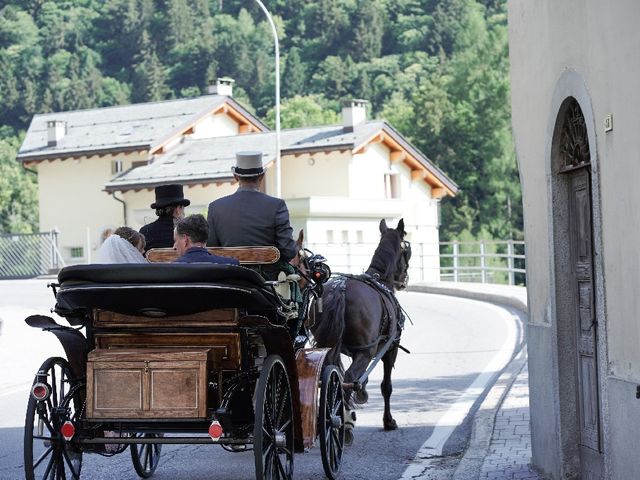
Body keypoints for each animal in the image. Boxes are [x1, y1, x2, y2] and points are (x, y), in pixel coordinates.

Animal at [310, 220, 410, 436]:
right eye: (406, 250)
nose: (404, 279)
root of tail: (341, 289)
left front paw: (362, 393)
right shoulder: (390, 349)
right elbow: (386, 386)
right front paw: (388, 421)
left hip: (327, 347)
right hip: (366, 351)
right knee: (348, 379)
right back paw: (344, 424)